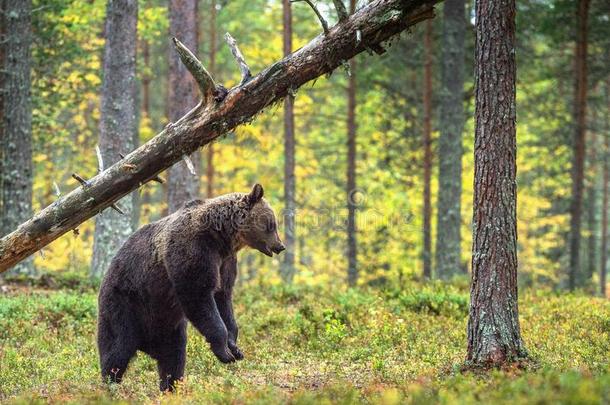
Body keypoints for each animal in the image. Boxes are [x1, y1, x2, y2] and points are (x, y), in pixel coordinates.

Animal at [96, 185, 284, 390]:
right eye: (271, 224)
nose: (280, 246)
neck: (222, 237)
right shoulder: (194, 249)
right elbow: (198, 294)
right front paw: (224, 352)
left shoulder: (225, 262)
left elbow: (223, 298)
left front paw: (235, 348)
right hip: (126, 301)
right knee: (117, 347)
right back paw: (110, 385)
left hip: (168, 325)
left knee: (174, 357)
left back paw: (170, 387)